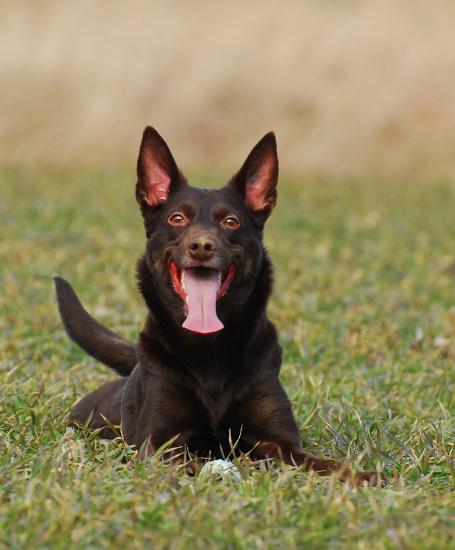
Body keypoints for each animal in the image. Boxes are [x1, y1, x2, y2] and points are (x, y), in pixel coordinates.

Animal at [55, 127, 387, 486]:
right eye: (177, 218)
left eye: (231, 221)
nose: (201, 246)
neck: (209, 352)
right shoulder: (160, 443)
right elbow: (184, 464)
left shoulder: (281, 444)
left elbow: (327, 465)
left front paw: (363, 477)